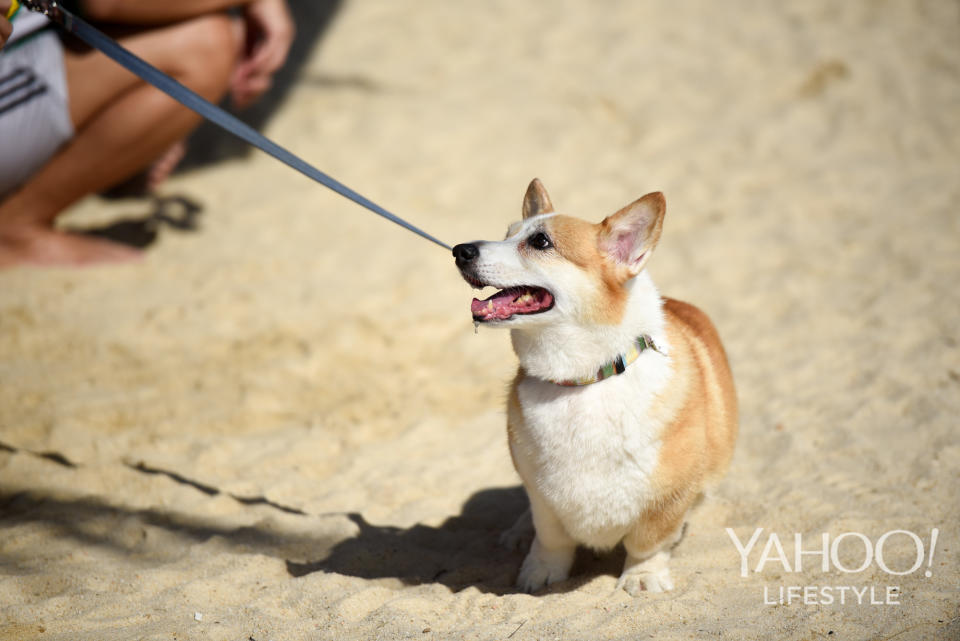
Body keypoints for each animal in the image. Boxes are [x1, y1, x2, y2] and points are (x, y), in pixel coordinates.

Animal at [454, 178, 740, 592]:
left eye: (540, 242)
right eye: (507, 234)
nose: (459, 250)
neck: (585, 379)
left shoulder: (668, 498)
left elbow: (649, 542)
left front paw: (643, 577)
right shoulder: (543, 497)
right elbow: (550, 537)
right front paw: (539, 573)